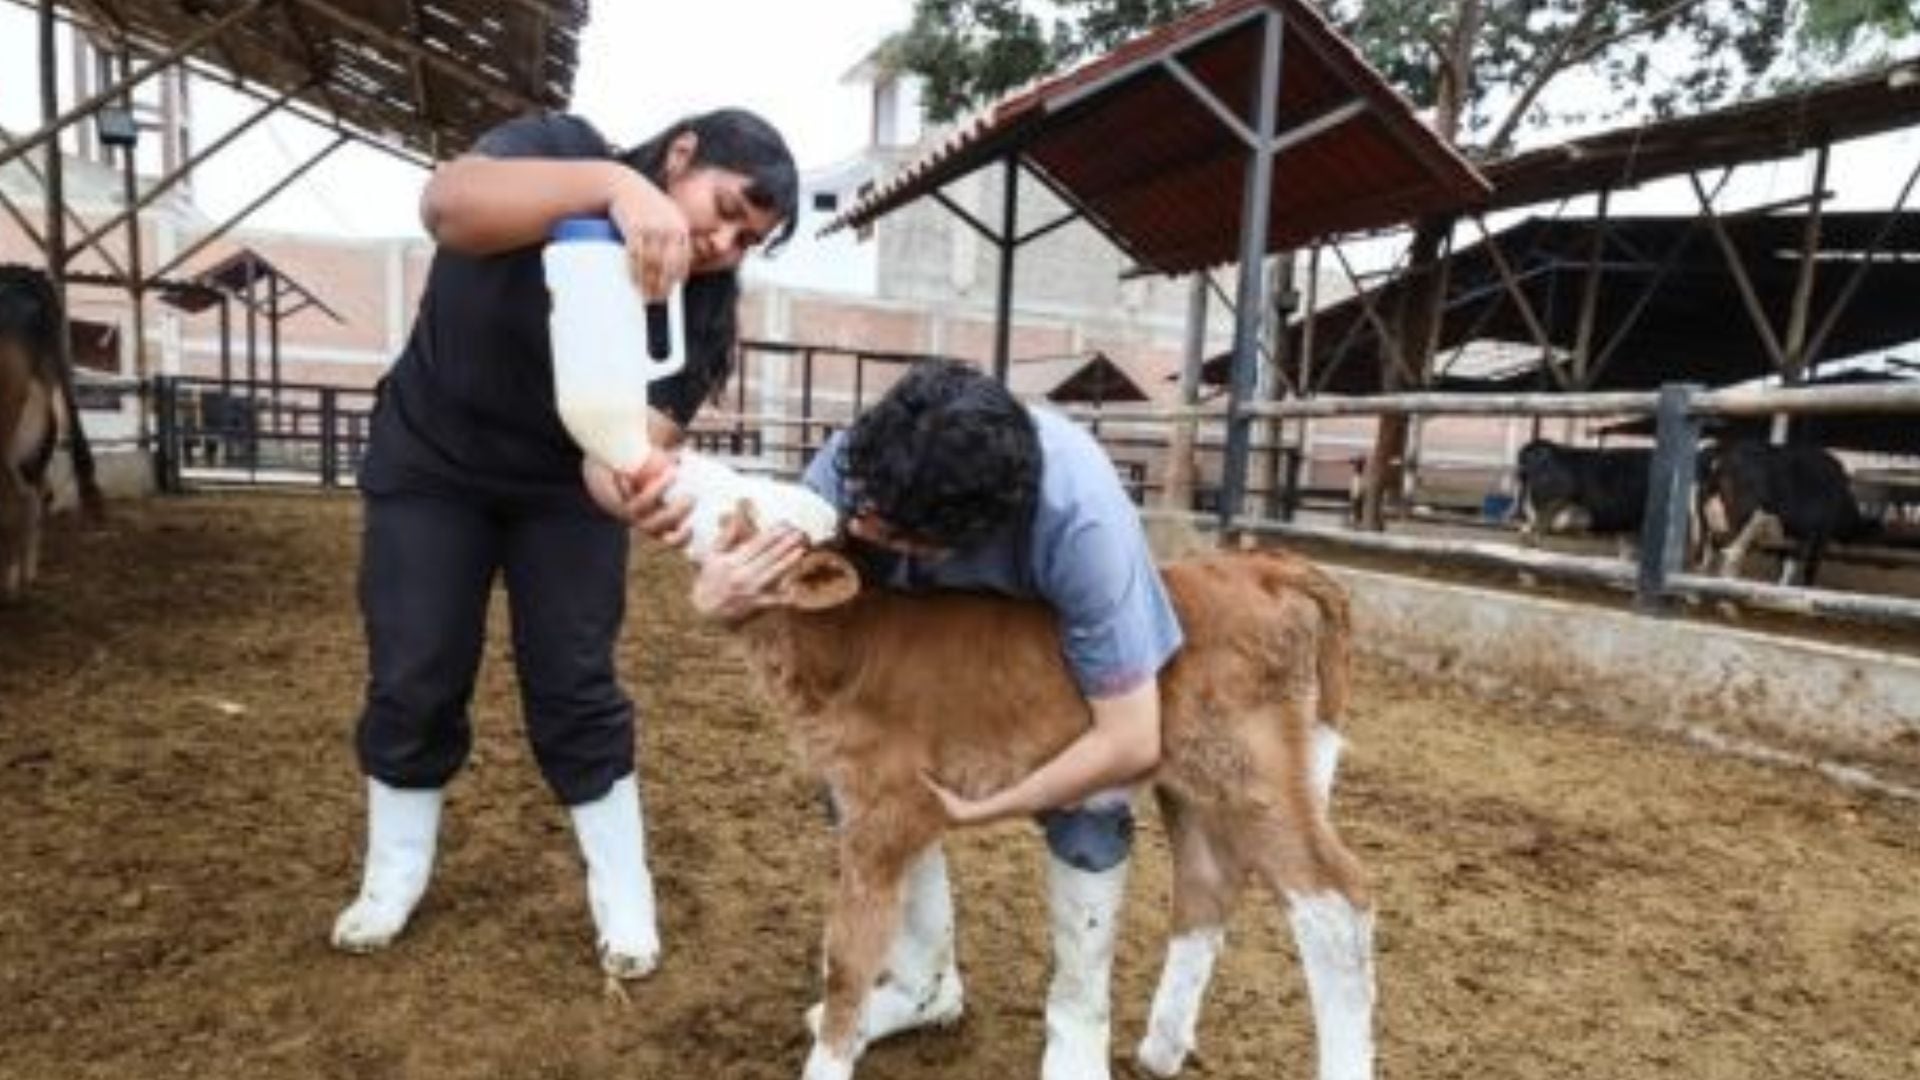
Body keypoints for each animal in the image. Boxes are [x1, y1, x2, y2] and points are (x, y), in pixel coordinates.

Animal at [1704, 438, 1866, 584]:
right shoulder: (1819, 536)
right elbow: (1808, 568)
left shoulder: (1791, 537)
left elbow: (1786, 566)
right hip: (1744, 524)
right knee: (1732, 555)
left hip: (1712, 523)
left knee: (1709, 557)